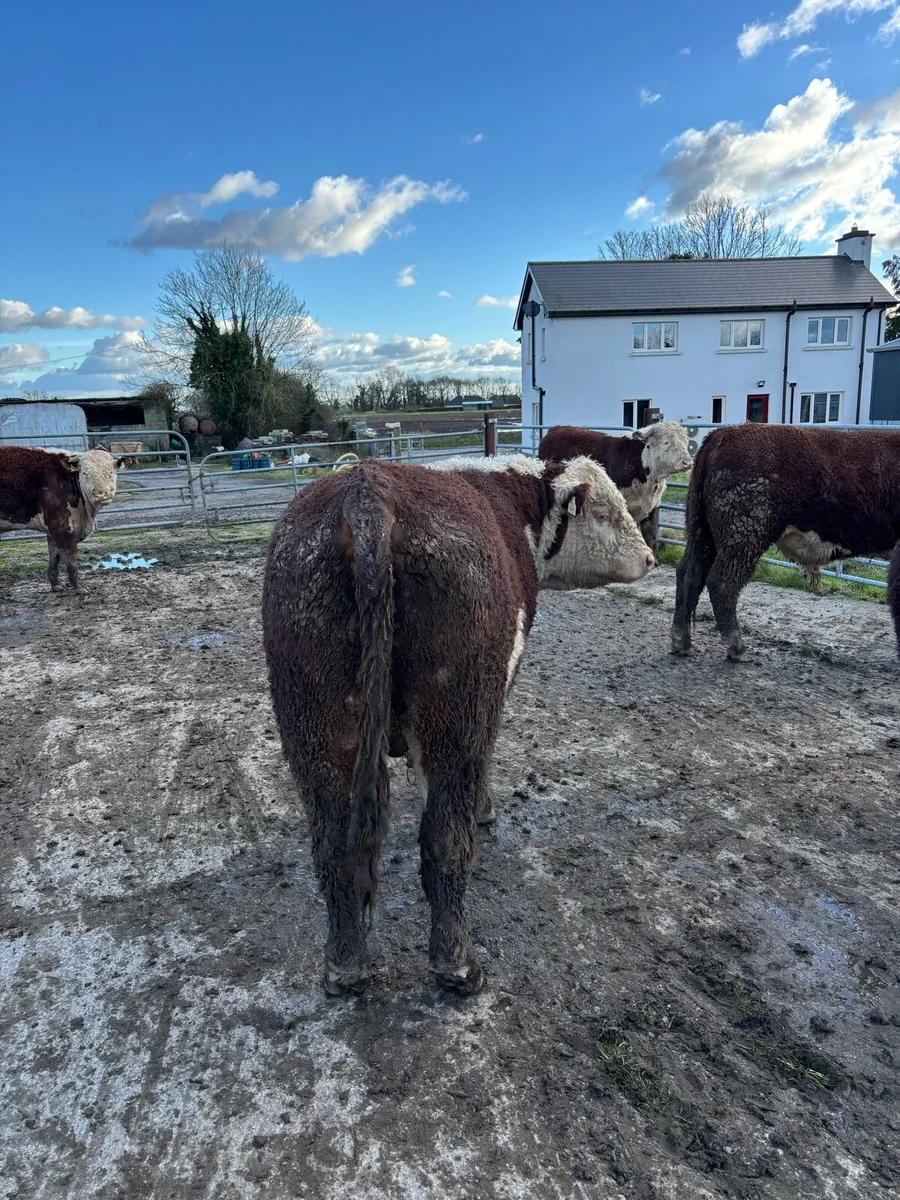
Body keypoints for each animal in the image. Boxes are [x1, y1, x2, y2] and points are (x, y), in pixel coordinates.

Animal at [0, 447, 121, 592]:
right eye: (84, 473)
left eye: (111, 471)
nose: (101, 494)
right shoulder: (60, 524)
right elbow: (70, 555)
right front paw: (79, 586)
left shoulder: (53, 529)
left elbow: (55, 555)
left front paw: (56, 584)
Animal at [262, 455, 654, 996]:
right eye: (603, 512)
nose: (651, 558)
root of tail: (369, 489)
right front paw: (485, 810)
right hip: (456, 718)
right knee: (445, 839)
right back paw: (457, 964)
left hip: (316, 726)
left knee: (336, 847)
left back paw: (345, 965)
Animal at [538, 422, 693, 550]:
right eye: (666, 442)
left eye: (685, 442)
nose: (688, 462)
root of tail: (556, 429)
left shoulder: (651, 509)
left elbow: (649, 536)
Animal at [671, 424, 900, 662]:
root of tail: (725, 433)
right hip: (743, 539)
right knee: (722, 583)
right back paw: (737, 648)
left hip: (702, 534)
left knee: (688, 574)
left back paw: (682, 642)